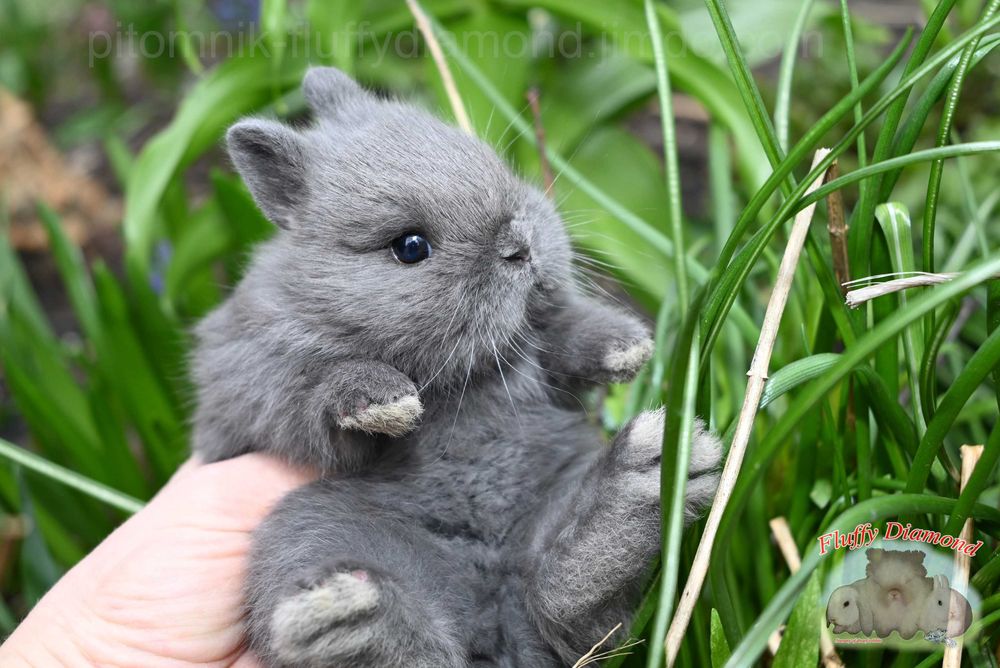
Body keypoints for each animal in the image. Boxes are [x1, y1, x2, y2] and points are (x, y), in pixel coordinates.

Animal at [191, 66, 722, 667]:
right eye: (410, 246)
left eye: (498, 167)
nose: (521, 244)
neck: (463, 379)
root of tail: (499, 626)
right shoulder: (245, 375)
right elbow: (308, 396)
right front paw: (385, 402)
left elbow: (558, 341)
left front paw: (625, 348)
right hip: (308, 532)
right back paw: (343, 619)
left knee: (565, 603)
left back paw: (649, 471)